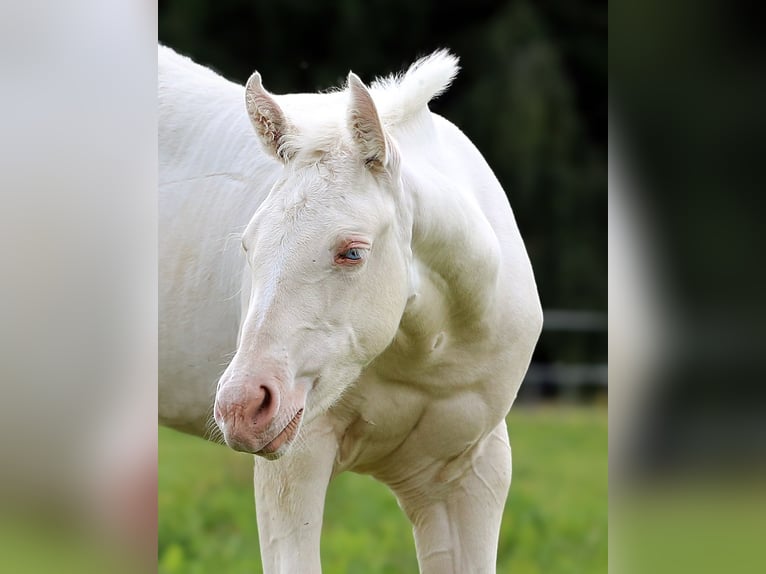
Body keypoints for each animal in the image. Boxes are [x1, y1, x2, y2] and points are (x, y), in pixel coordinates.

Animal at [159, 45, 542, 573]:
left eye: (352, 252)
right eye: (248, 245)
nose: (241, 407)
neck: (426, 349)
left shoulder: (470, 475)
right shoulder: (294, 464)